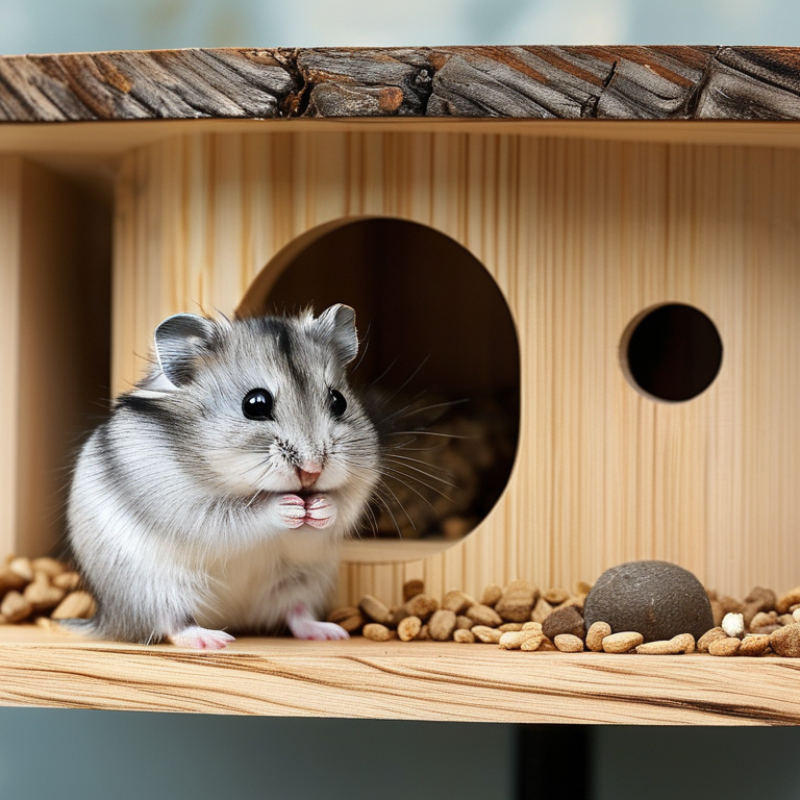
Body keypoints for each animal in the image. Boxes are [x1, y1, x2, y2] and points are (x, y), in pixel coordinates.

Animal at [66, 304, 379, 649]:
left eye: (339, 401)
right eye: (255, 403)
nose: (312, 471)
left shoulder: (359, 488)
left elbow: (341, 505)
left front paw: (320, 506)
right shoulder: (191, 509)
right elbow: (242, 514)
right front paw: (291, 507)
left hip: (302, 581)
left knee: (296, 613)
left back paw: (329, 632)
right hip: (153, 589)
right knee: (172, 624)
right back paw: (213, 639)